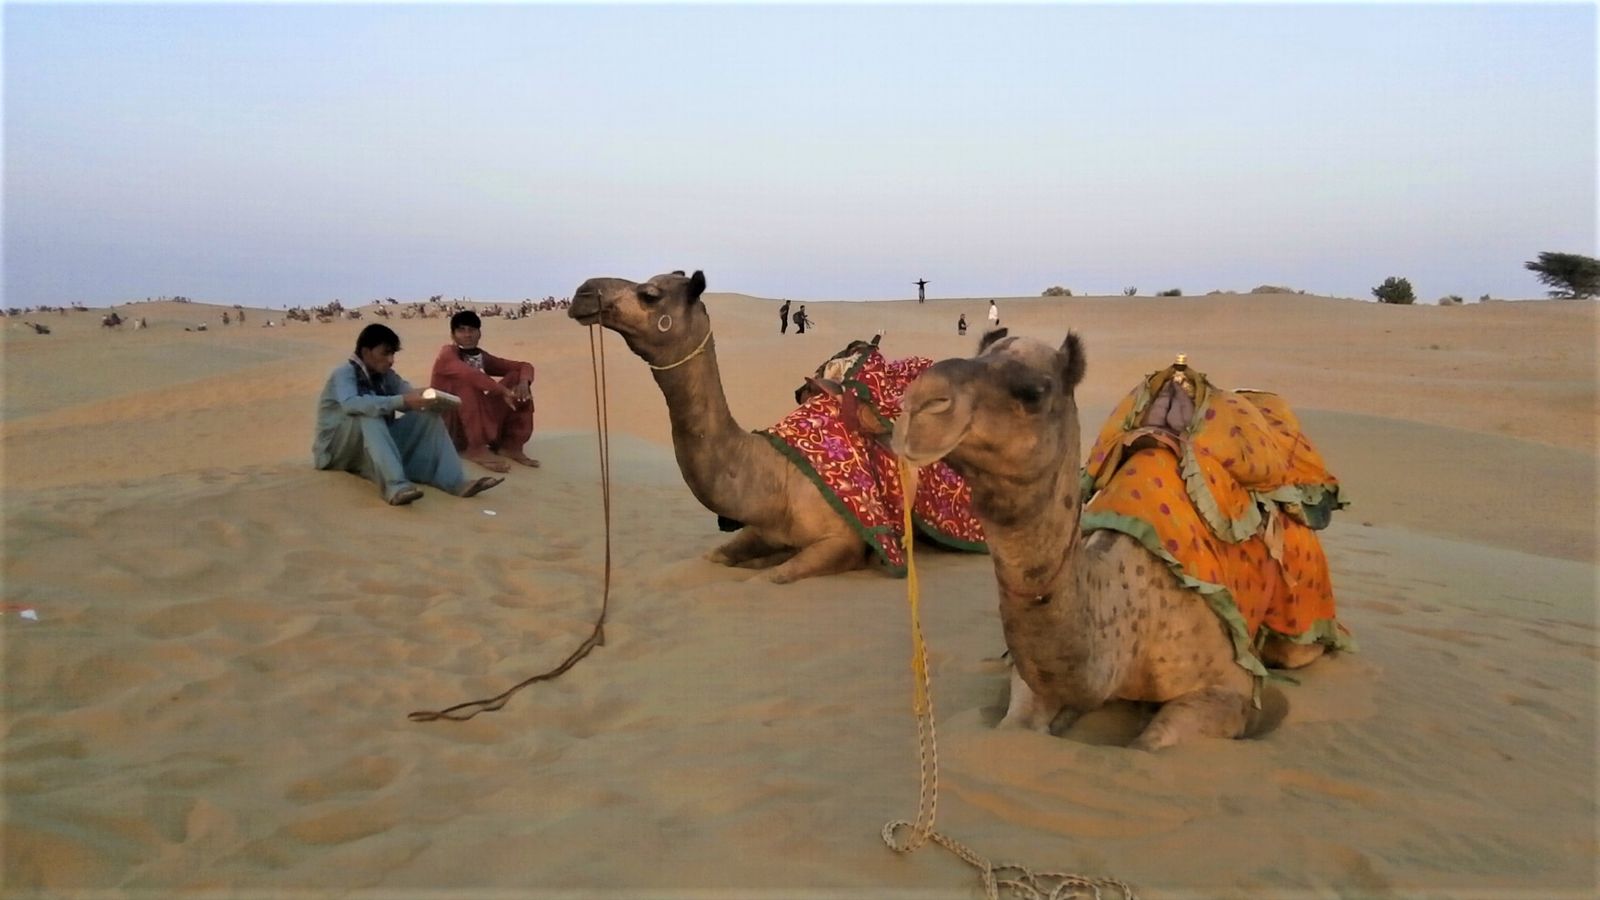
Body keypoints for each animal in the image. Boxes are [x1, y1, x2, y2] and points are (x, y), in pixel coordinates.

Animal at [568, 270, 876, 584]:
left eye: (650, 294)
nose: (583, 292)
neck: (779, 479)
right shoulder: (762, 530)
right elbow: (714, 557)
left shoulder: (842, 542)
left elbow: (768, 577)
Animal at [893, 329, 1322, 750]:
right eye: (978, 358)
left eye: (1033, 391)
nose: (918, 403)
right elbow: (1016, 724)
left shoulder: (1228, 689)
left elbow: (1147, 745)